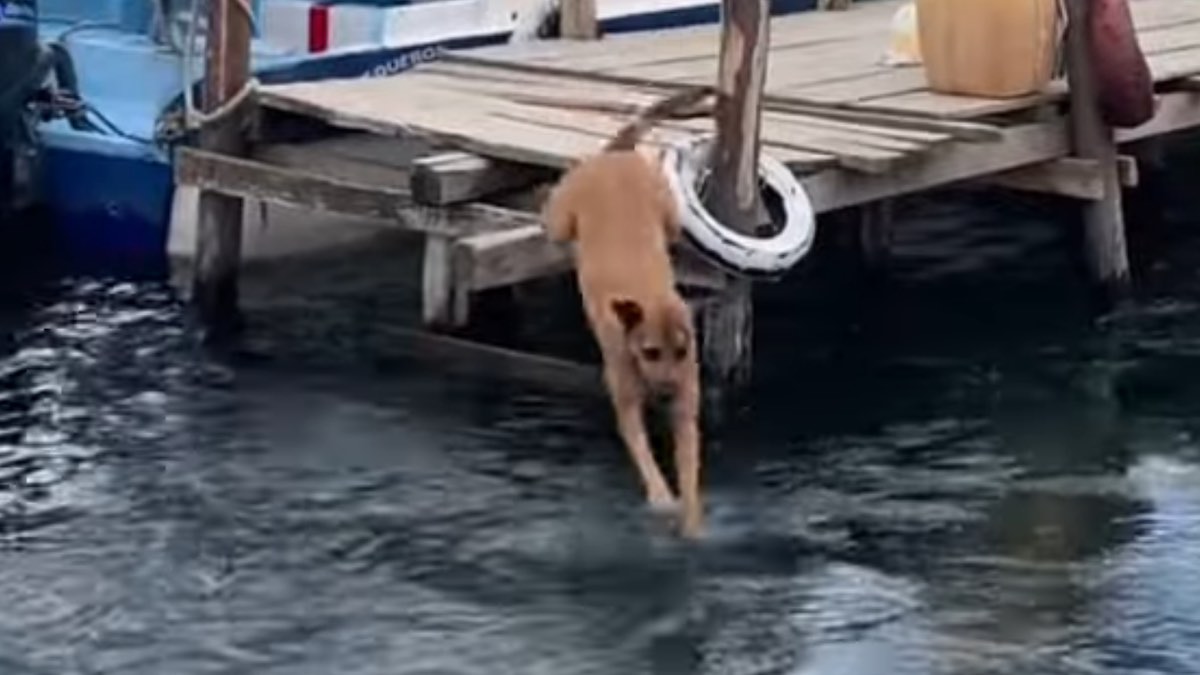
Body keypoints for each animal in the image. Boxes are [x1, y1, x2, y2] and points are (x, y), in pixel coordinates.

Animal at [542, 86, 710, 535]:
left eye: (682, 351)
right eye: (650, 352)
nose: (666, 391)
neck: (647, 298)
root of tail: (617, 153)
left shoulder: (686, 411)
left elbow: (689, 467)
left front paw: (691, 522)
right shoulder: (628, 405)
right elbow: (646, 458)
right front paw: (662, 499)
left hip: (670, 218)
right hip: (560, 220)